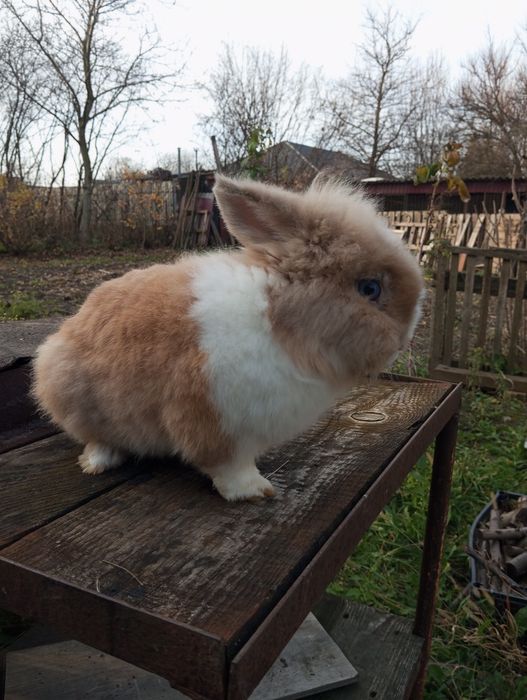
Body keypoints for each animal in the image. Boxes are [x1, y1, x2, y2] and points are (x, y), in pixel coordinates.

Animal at [32, 175, 424, 502]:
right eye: (369, 289)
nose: (403, 342)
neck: (280, 322)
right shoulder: (214, 420)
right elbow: (227, 466)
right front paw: (255, 491)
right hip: (74, 397)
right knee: (95, 438)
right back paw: (99, 462)